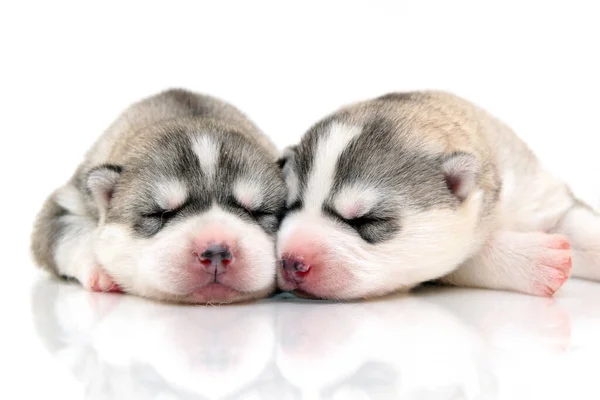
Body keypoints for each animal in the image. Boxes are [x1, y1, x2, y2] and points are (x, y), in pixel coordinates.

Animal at [31, 89, 288, 304]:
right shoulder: (67, 202)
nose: (216, 252)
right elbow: (69, 234)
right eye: (159, 213)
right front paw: (101, 270)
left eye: (258, 212)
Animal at [278, 91, 596, 300]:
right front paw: (537, 258)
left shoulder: (540, 195)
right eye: (290, 207)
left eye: (367, 221)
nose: (291, 261)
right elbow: (469, 257)